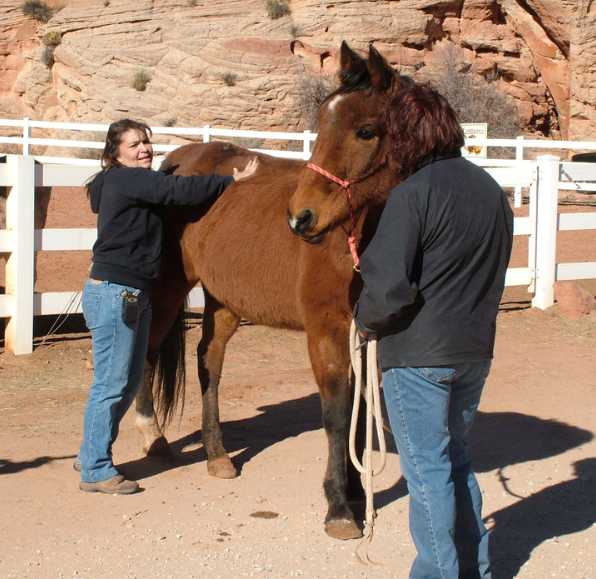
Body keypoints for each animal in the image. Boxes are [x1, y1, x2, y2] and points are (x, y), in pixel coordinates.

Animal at [133, 43, 408, 540]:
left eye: (365, 130)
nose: (301, 218)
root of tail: (177, 160)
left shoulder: (365, 332)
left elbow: (360, 411)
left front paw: (357, 492)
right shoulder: (326, 327)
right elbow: (338, 410)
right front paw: (340, 507)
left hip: (223, 301)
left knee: (209, 361)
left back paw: (217, 455)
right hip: (168, 287)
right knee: (147, 349)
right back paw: (153, 436)